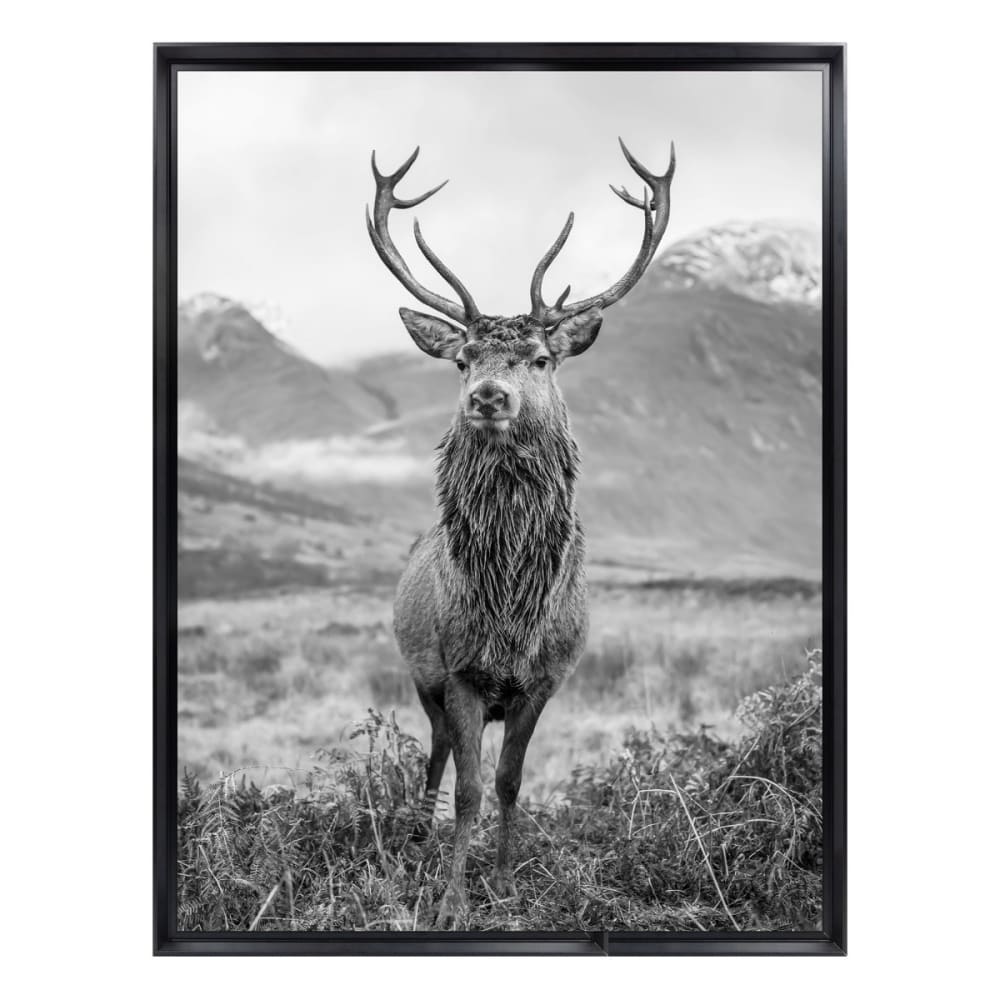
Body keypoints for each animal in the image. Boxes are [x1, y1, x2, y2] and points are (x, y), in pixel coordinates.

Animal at [365, 139, 676, 927]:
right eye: (462, 358)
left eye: (541, 358)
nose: (488, 396)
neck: (510, 609)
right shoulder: (460, 673)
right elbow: (471, 787)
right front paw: (451, 898)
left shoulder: (546, 678)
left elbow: (509, 781)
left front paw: (505, 881)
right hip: (421, 673)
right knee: (436, 754)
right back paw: (416, 838)